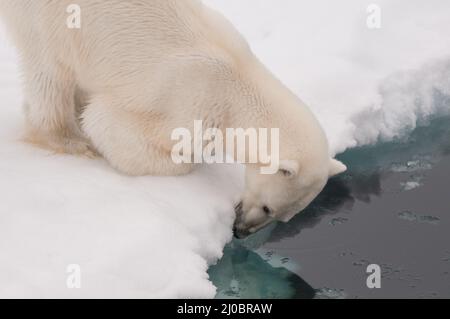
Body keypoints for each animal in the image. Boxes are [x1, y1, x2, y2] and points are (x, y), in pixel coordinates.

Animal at [0, 0, 346, 238]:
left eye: (282, 217)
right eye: (268, 207)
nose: (240, 232)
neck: (238, 79)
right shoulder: (189, 98)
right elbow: (110, 125)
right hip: (50, 17)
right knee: (50, 67)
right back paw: (68, 139)